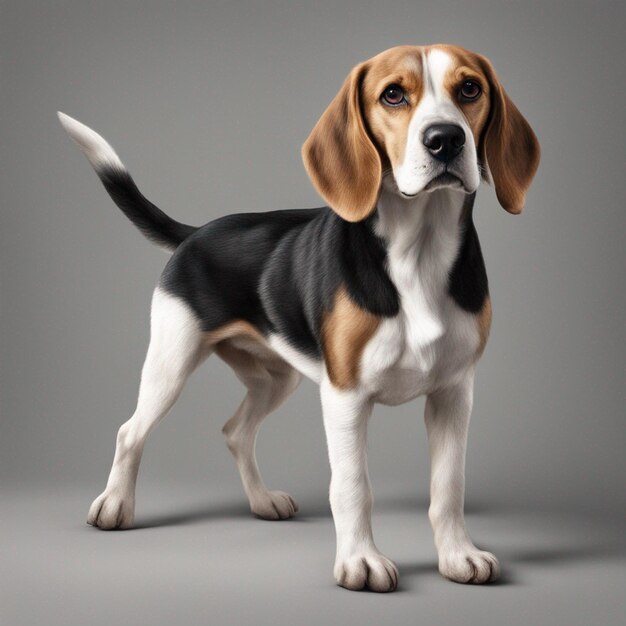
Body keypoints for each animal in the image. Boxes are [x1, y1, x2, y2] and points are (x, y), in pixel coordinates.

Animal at [57, 44, 536, 588]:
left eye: (470, 88)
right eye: (393, 94)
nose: (445, 139)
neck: (420, 250)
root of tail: (196, 232)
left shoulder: (454, 393)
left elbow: (449, 486)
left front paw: (458, 555)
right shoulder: (346, 396)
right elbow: (353, 486)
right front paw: (360, 561)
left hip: (276, 377)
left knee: (235, 432)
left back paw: (262, 502)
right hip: (170, 363)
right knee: (130, 431)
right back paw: (114, 505)